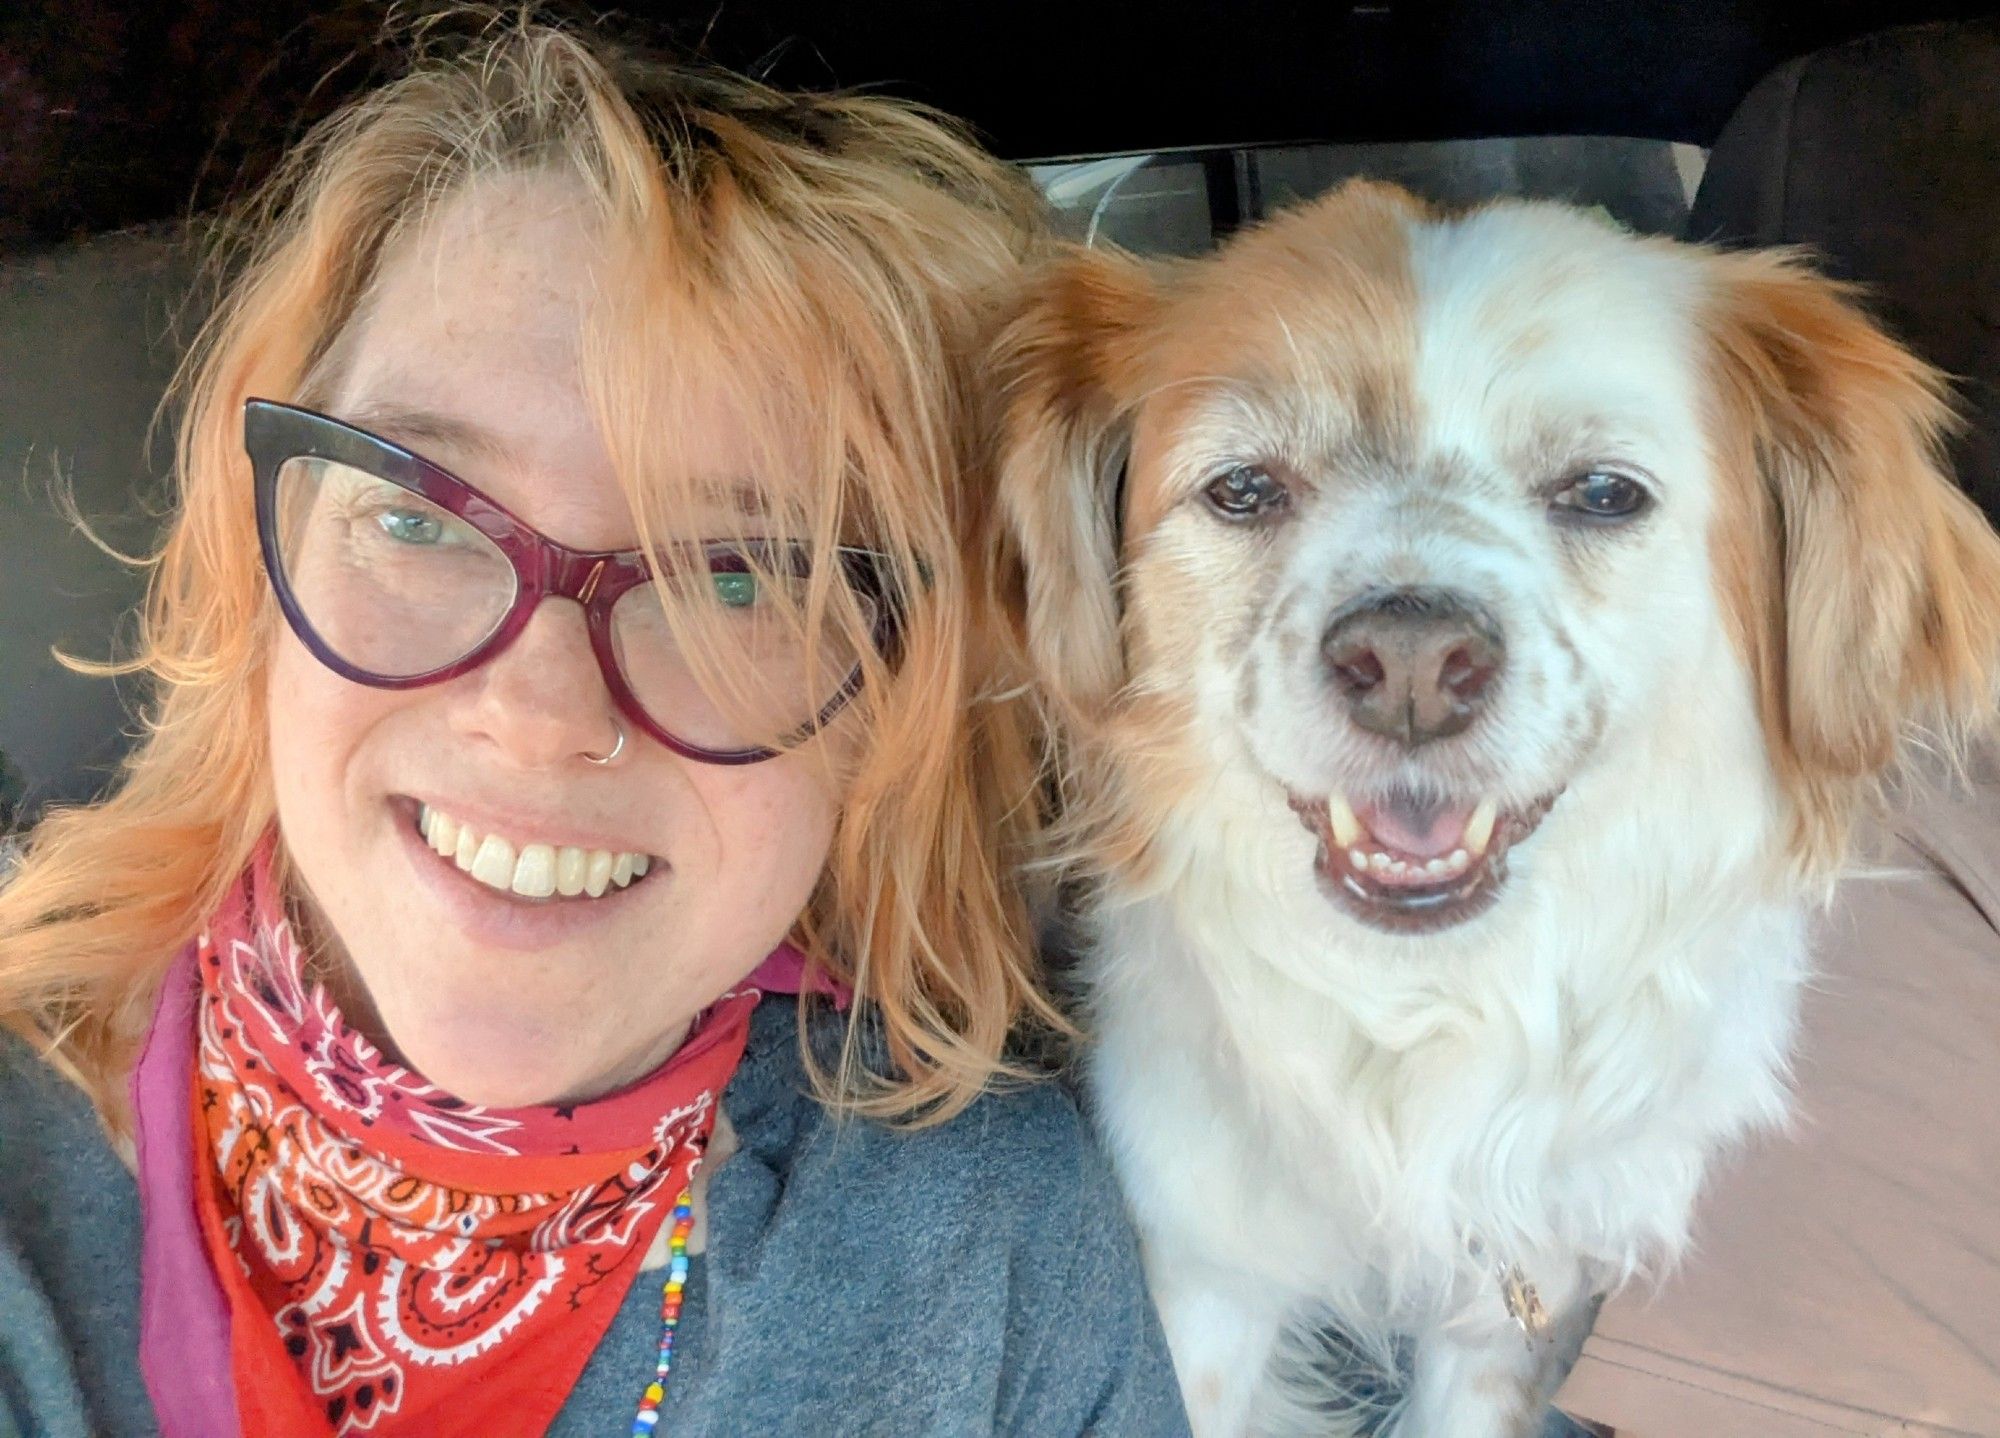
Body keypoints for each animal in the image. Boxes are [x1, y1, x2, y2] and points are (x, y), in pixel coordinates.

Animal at [976, 183, 2000, 1438]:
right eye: (1242, 489)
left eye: (1602, 493)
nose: (1410, 662)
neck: (1425, 1012)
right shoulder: (1203, 1266)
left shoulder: (1517, 1299)